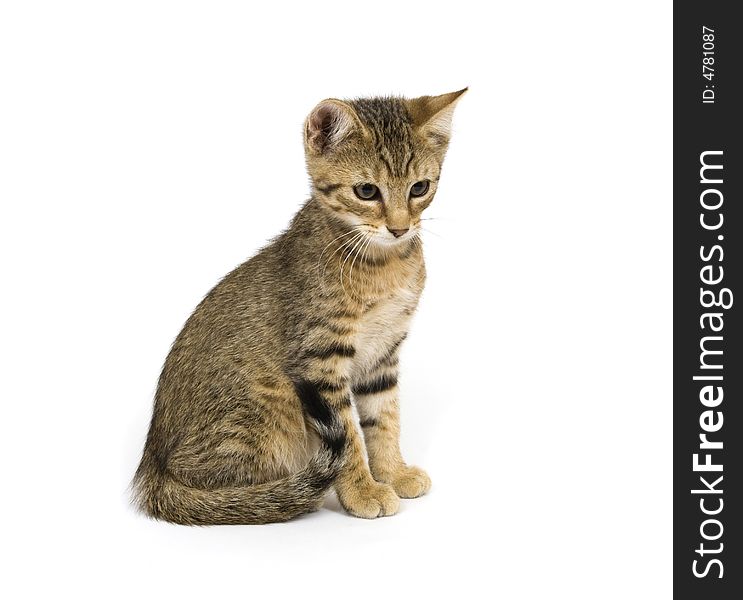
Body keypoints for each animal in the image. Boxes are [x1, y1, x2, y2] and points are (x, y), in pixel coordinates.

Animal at [134, 86, 464, 524]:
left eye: (419, 188)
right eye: (366, 191)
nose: (399, 228)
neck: (383, 264)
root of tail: (150, 466)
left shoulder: (383, 354)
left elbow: (385, 418)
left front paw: (393, 472)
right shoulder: (320, 359)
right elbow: (349, 437)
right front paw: (362, 490)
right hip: (267, 409)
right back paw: (281, 493)